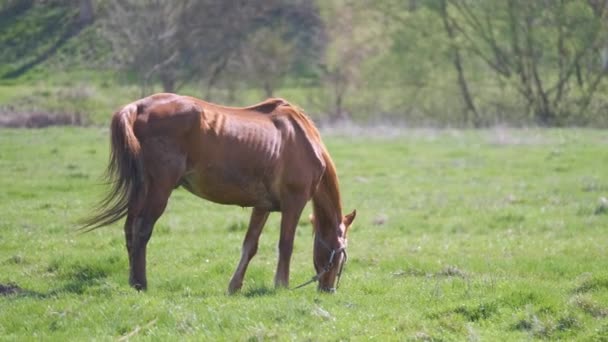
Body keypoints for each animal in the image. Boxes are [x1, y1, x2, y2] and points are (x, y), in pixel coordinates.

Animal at [82, 92, 356, 292]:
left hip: (140, 191)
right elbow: (285, 245)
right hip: (158, 189)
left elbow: (250, 245)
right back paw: (141, 283)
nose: (328, 289)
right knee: (141, 230)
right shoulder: (293, 203)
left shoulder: (262, 206)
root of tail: (137, 107)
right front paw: (281, 285)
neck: (302, 138)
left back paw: (133, 281)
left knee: (130, 229)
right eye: (341, 254)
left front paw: (234, 286)